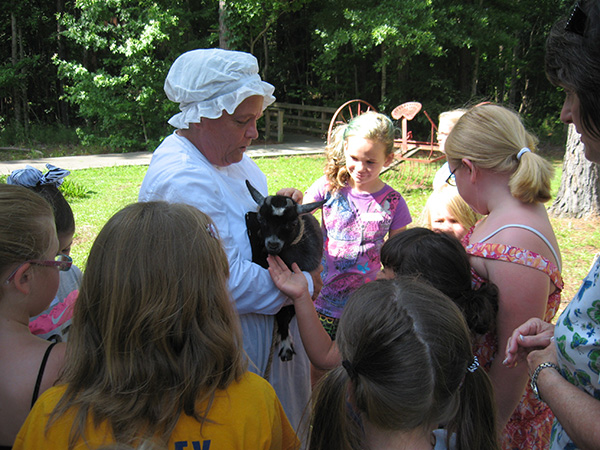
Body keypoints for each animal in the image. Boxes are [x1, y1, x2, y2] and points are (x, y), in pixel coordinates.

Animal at [246, 179, 326, 362]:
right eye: (261, 218)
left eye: (293, 223)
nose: (273, 244)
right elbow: (282, 313)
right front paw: (285, 344)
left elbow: (288, 313)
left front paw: (285, 345)